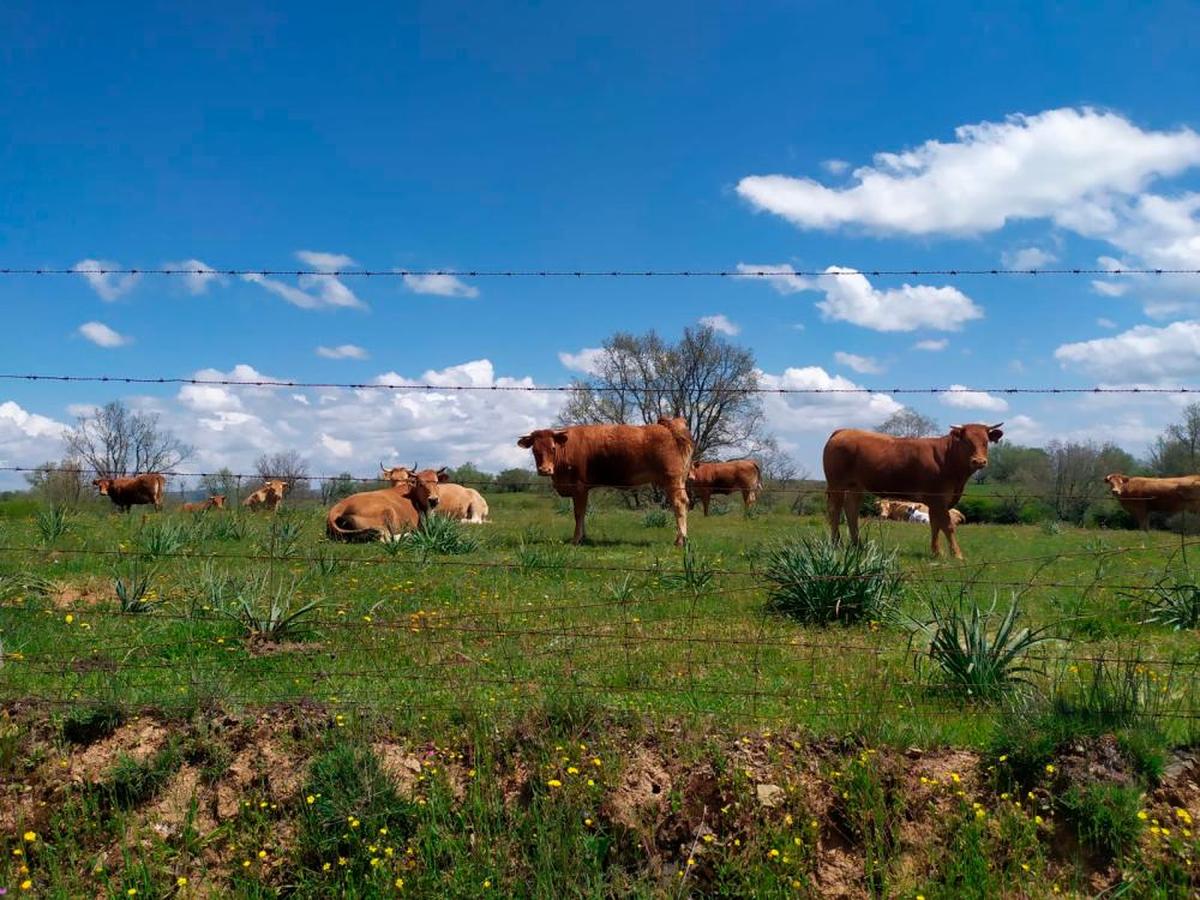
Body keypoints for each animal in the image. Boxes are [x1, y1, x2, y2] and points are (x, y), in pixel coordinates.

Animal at [516, 417, 696, 549]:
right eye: (535, 450)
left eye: (553, 448)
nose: (544, 470)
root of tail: (668, 426)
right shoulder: (582, 489)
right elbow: (582, 513)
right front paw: (584, 537)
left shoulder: (579, 486)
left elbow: (578, 513)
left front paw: (576, 540)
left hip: (672, 480)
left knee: (679, 504)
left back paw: (680, 540)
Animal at [825, 422, 1003, 556]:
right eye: (966, 441)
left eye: (986, 442)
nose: (978, 461)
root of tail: (843, 431)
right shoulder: (938, 498)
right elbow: (947, 526)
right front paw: (957, 555)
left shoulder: (936, 501)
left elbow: (935, 525)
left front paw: (936, 552)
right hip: (836, 485)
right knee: (835, 511)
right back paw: (836, 543)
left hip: (856, 487)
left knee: (851, 511)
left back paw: (858, 545)